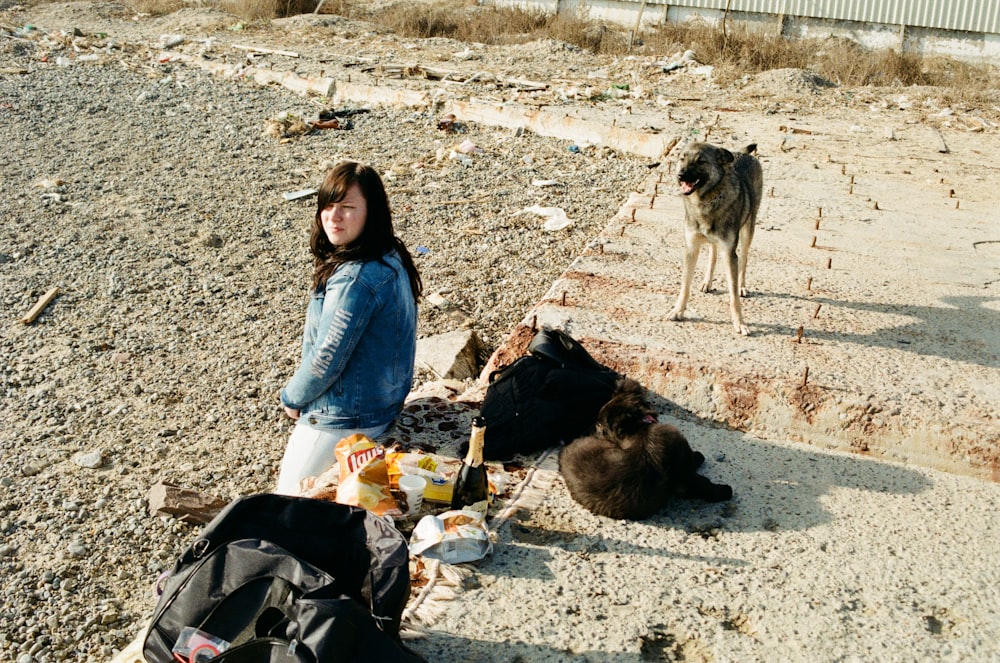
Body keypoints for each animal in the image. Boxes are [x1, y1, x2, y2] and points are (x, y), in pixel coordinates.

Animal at [668, 142, 760, 334]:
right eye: (682, 158)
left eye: (701, 161)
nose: (680, 176)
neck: (705, 201)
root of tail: (742, 153)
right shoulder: (691, 248)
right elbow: (685, 286)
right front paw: (678, 311)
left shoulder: (730, 253)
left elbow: (733, 296)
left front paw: (739, 323)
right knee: (713, 253)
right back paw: (707, 282)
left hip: (748, 230)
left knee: (744, 259)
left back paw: (742, 286)